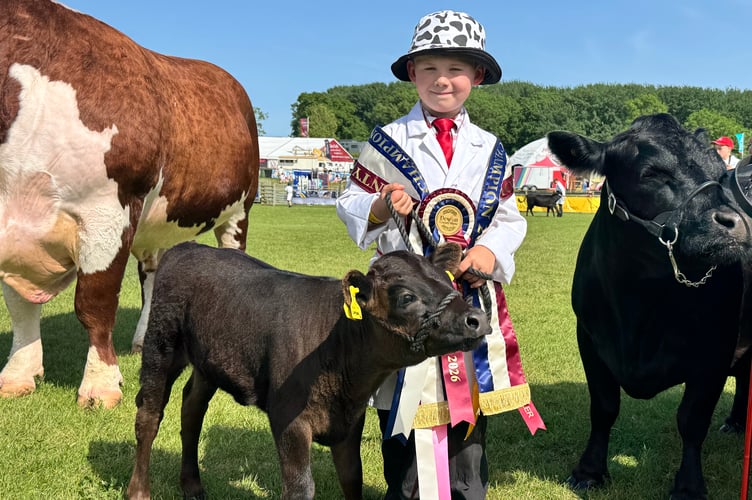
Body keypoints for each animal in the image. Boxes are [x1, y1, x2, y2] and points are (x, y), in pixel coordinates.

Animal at [0, 0, 259, 408]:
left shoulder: (107, 211)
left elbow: (94, 305)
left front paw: (100, 385)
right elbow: (19, 305)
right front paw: (17, 374)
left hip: (239, 210)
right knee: (153, 275)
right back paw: (143, 339)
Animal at [126, 241, 490, 500]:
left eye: (447, 282)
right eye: (406, 296)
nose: (476, 318)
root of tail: (187, 247)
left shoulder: (350, 418)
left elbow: (352, 477)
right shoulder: (289, 418)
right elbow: (300, 486)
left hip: (209, 360)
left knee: (192, 409)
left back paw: (192, 486)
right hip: (161, 345)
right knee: (149, 416)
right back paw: (139, 491)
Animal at [546, 113, 752, 499]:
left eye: (719, 174)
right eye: (652, 173)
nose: (737, 225)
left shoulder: (714, 354)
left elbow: (692, 420)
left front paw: (688, 486)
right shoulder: (590, 339)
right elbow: (604, 407)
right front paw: (589, 470)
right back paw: (735, 423)